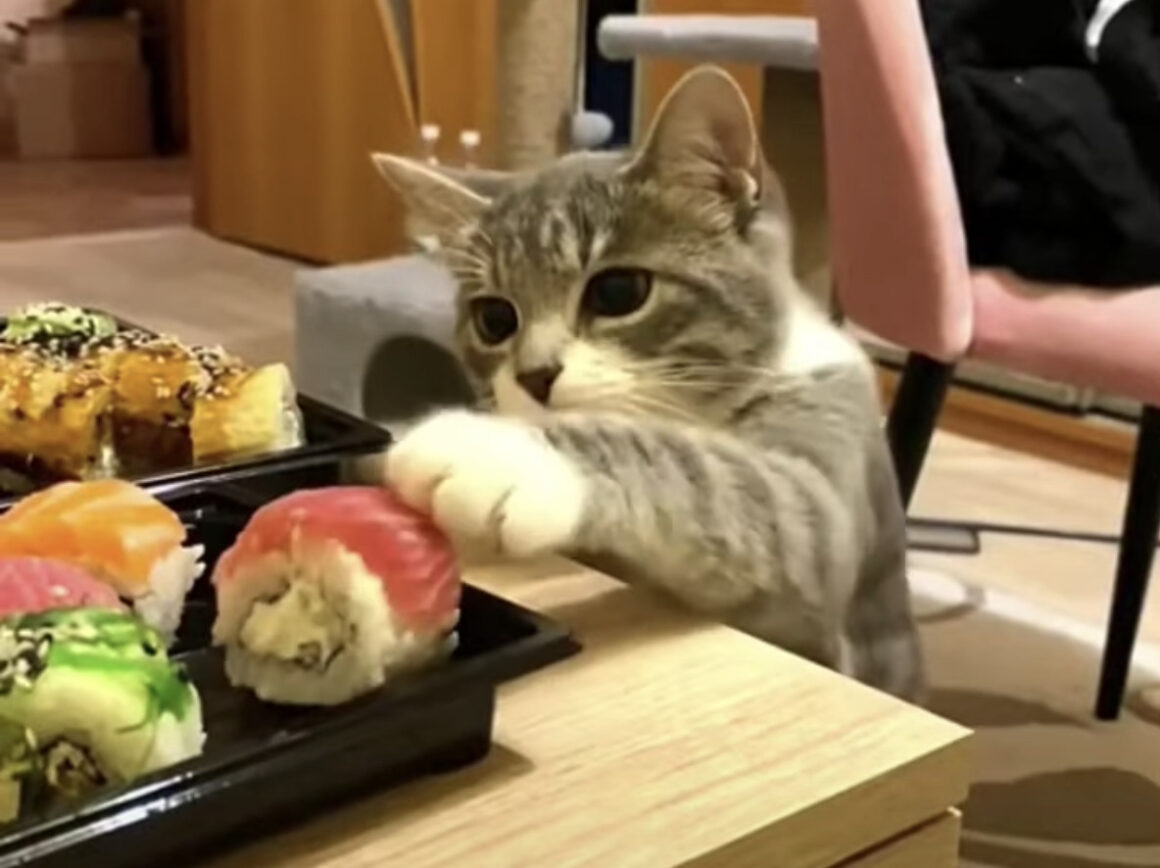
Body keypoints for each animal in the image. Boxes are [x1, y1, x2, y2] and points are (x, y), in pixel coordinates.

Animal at [368, 65, 925, 702]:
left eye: (617, 292)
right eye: (494, 318)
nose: (535, 374)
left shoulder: (824, 494)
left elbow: (728, 481)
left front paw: (495, 450)